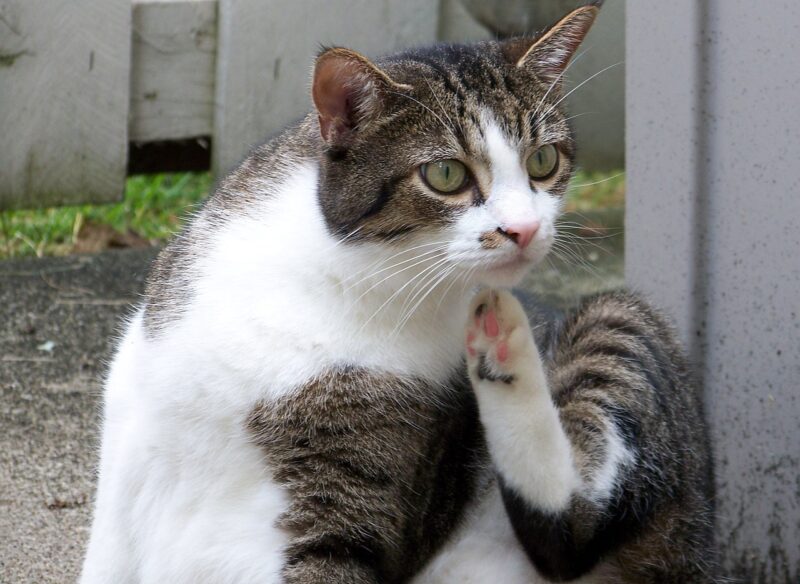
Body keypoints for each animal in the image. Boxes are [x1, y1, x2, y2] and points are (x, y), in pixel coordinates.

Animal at [83, 4, 720, 584]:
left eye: (543, 161)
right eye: (445, 175)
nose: (525, 229)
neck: (341, 274)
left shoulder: (353, 499)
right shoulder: (128, 440)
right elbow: (107, 556)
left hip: (622, 318)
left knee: (571, 528)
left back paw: (505, 345)